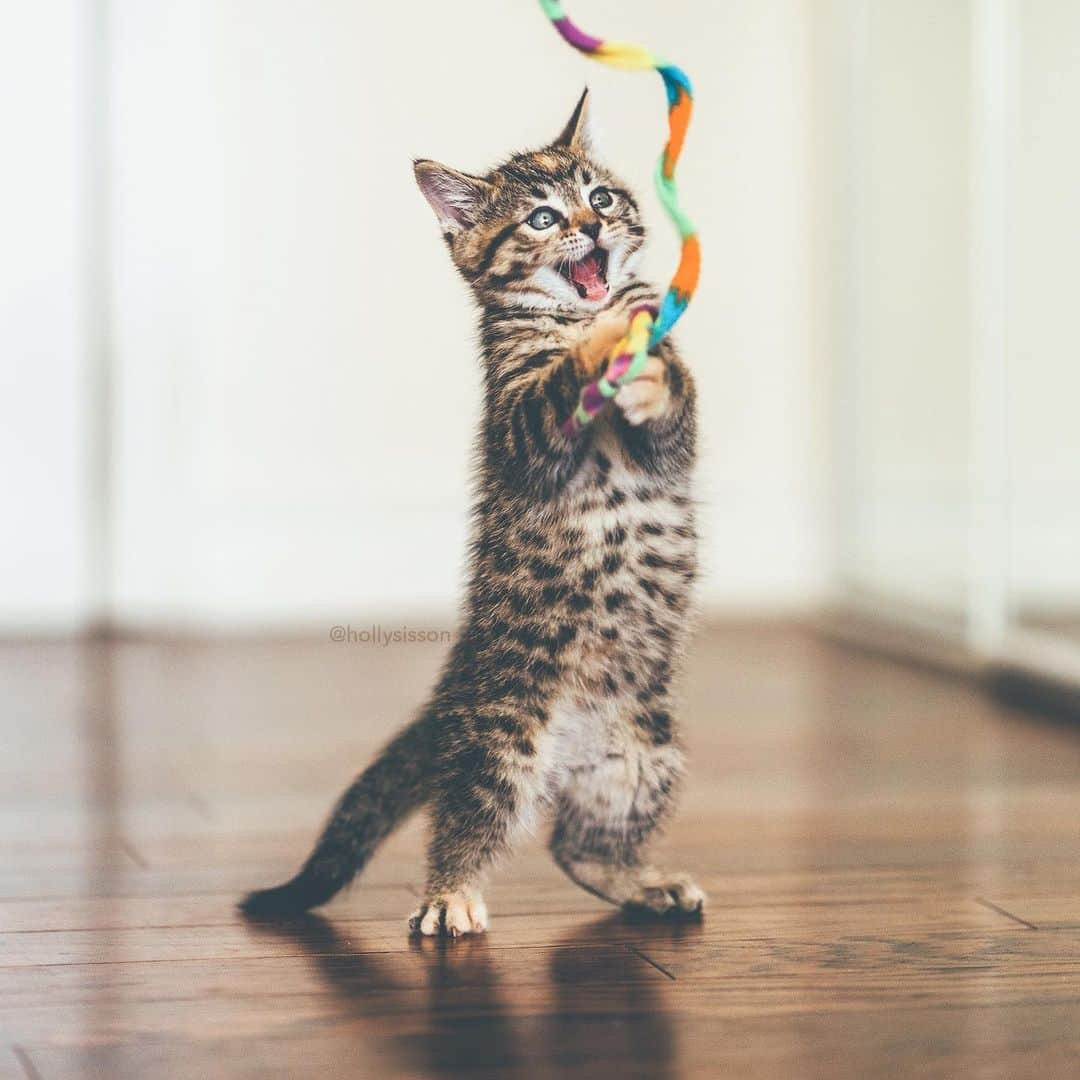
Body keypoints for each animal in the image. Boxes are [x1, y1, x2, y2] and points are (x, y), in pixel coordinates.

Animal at [240, 90, 704, 937]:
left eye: (601, 198)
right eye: (543, 219)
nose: (591, 226)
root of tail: (449, 697)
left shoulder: (670, 445)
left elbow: (671, 408)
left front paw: (643, 360)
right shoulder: (520, 426)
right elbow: (553, 388)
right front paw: (595, 347)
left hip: (642, 753)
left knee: (579, 846)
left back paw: (640, 881)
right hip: (500, 741)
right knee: (468, 823)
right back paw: (449, 897)